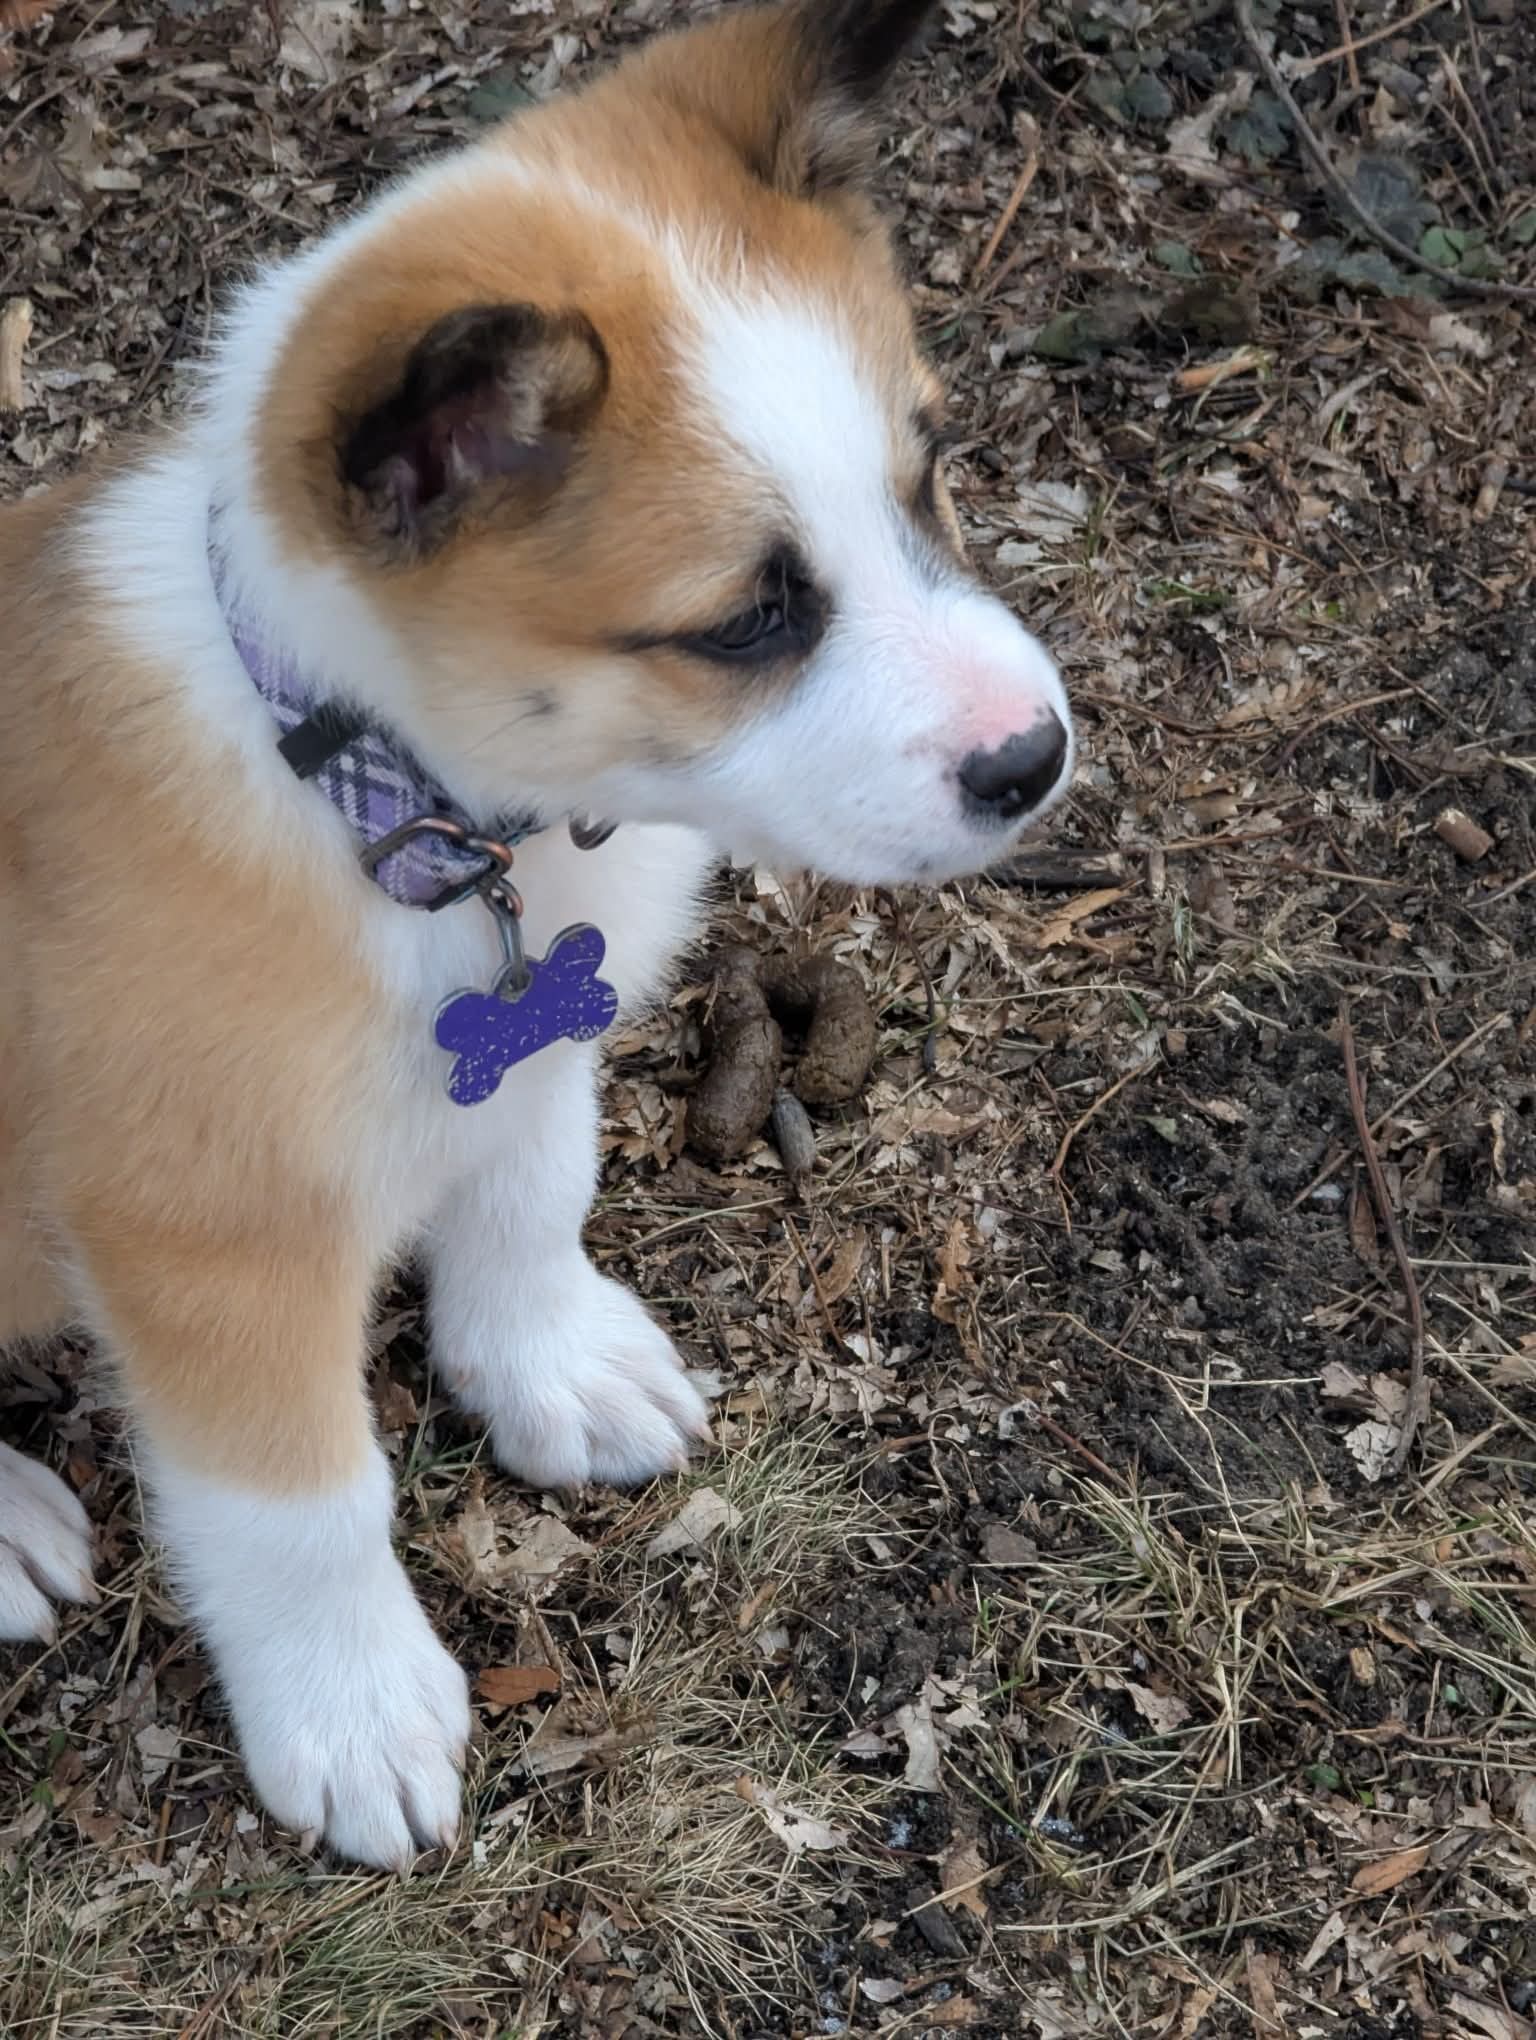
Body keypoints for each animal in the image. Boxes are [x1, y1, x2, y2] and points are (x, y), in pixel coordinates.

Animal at [0, 0, 1073, 1867]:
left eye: (930, 471)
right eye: (745, 620)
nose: (1038, 759)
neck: (388, 808)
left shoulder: (537, 1029)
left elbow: (526, 1193)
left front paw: (549, 1367)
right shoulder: (201, 1229)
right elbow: (299, 1501)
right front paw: (353, 1709)